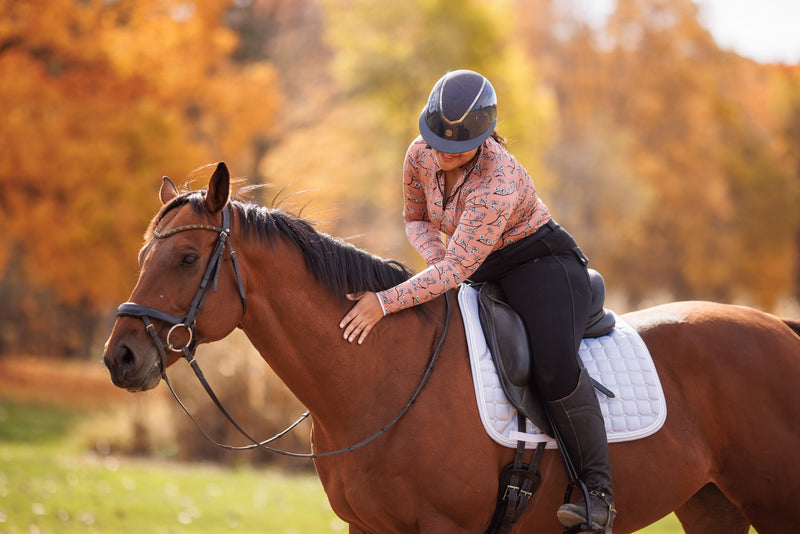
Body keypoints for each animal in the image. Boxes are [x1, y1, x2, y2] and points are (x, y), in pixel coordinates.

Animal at [103, 163, 800, 534]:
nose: (122, 356)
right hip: (712, 506)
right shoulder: (366, 527)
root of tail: (779, 327)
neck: (376, 379)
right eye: (142, 257)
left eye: (187, 258)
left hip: (775, 504)